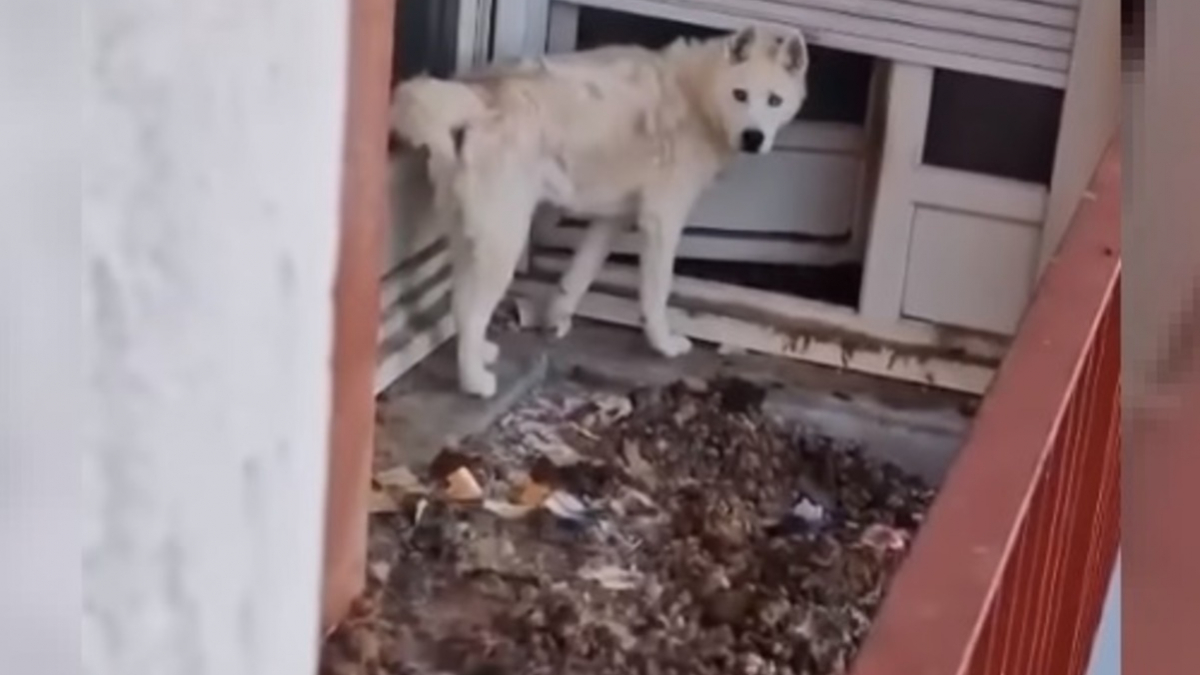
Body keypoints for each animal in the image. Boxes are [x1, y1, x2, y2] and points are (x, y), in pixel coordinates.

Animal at [391, 26, 806, 396]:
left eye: (774, 100)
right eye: (740, 95)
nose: (753, 137)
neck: (698, 97)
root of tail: (479, 92)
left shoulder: (611, 220)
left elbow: (579, 276)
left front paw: (556, 319)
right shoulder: (662, 221)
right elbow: (656, 293)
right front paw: (664, 344)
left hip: (472, 237)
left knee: (460, 305)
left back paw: (482, 354)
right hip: (504, 241)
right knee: (474, 311)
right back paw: (474, 382)